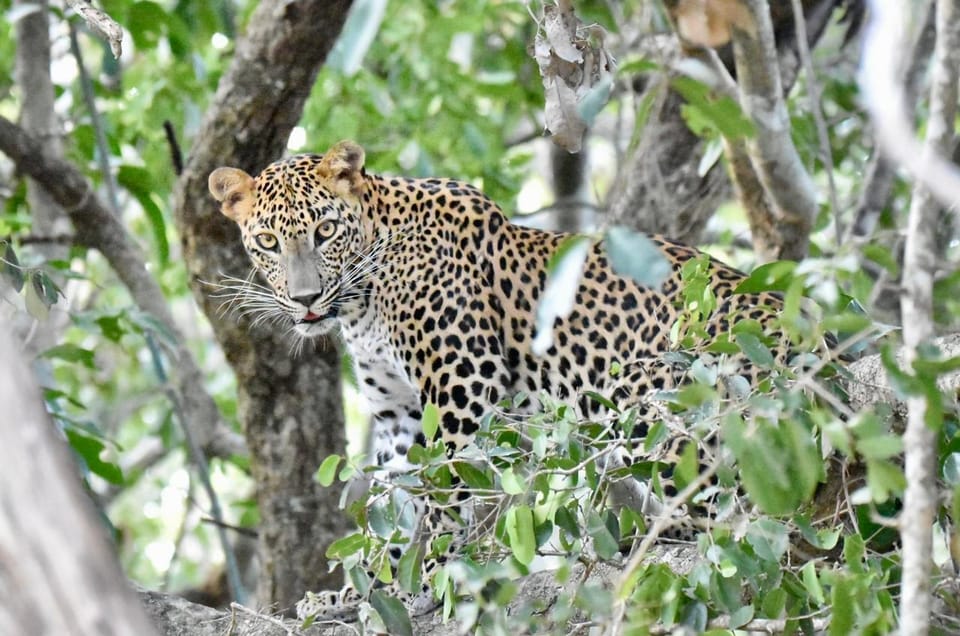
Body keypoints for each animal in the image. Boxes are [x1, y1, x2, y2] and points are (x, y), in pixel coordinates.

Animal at [210, 139, 796, 620]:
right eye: (268, 241)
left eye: (325, 231)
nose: (306, 299)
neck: (362, 300)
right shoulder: (399, 414)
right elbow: (394, 505)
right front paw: (366, 591)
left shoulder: (461, 381)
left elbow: (443, 494)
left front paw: (430, 580)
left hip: (651, 395)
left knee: (735, 517)